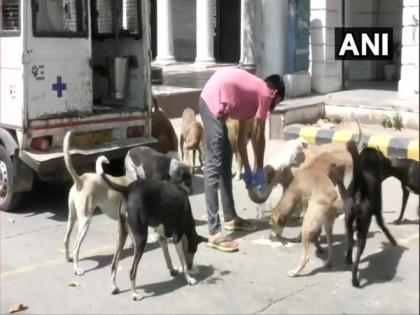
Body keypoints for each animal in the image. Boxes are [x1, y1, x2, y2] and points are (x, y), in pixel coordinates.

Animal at [62, 132, 134, 276]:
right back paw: (77, 269)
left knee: (66, 239)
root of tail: (80, 180)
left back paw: (68, 258)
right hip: (85, 221)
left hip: (72, 217)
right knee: (75, 247)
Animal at [96, 157, 207, 302]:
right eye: (193, 250)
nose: (191, 266)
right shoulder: (177, 238)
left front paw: (172, 270)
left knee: (114, 264)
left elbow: (168, 257)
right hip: (140, 239)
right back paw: (134, 294)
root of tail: (127, 189)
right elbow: (182, 262)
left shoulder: (162, 237)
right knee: (132, 271)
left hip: (121, 235)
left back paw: (114, 287)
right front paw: (189, 278)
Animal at [342, 142, 396, 288]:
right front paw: (393, 241)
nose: (389, 161)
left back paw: (348, 259)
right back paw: (355, 279)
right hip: (365, 224)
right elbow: (383, 225)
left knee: (350, 241)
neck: (367, 169)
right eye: (382, 157)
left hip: (348, 219)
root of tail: (360, 186)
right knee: (359, 249)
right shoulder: (377, 212)